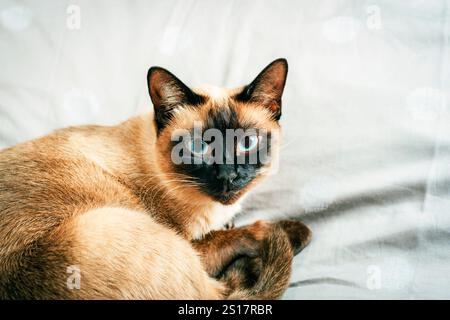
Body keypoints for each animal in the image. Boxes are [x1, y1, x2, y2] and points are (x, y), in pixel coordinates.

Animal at [0, 58, 312, 300]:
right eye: (199, 147)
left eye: (246, 143)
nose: (228, 176)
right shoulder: (194, 247)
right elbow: (249, 231)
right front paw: (290, 231)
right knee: (228, 289)